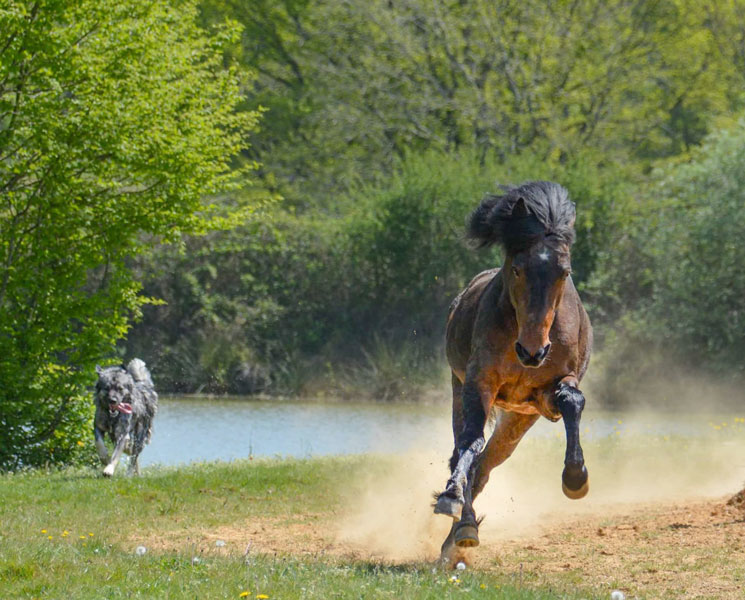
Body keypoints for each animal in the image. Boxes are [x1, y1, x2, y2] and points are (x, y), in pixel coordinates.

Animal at [434, 179, 588, 564]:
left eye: (564, 271)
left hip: (518, 420)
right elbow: (469, 443)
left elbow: (572, 401)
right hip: (462, 393)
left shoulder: (548, 394)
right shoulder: (479, 383)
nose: (533, 351)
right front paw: (450, 498)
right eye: (517, 268)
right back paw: (462, 526)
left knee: (487, 464)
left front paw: (575, 478)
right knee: (468, 453)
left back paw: (459, 536)